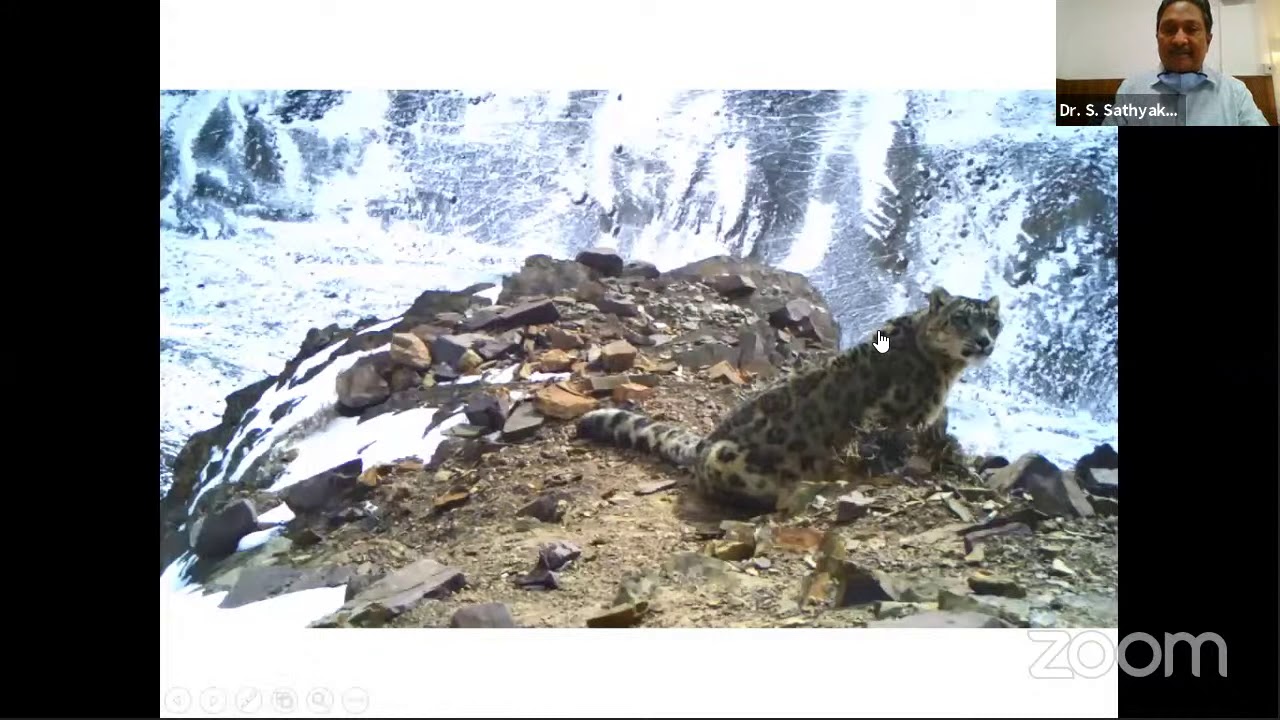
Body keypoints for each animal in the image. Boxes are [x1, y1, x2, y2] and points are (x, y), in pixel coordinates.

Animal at [575, 286, 1003, 513]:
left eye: (993, 322)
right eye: (961, 319)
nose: (984, 341)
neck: (945, 371)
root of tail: (705, 442)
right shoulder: (892, 417)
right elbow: (887, 448)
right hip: (730, 463)